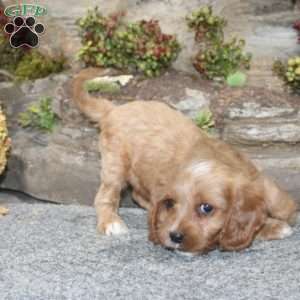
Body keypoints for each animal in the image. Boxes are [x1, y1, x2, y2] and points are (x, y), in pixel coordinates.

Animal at [72, 68, 298, 253]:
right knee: (105, 196)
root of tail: (114, 108)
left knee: (137, 194)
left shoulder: (276, 197)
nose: (174, 236)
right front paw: (272, 227)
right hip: (115, 166)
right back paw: (111, 222)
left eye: (206, 208)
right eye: (170, 204)